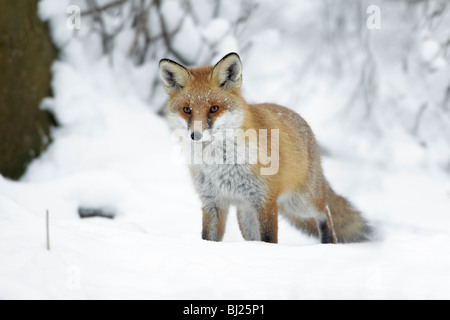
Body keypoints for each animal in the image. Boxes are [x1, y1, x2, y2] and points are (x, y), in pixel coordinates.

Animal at [160, 52, 370, 244]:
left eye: (214, 108)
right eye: (187, 110)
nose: (195, 135)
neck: (220, 163)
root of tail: (300, 119)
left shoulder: (265, 201)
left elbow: (269, 239)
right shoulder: (212, 202)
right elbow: (208, 238)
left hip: (300, 203)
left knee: (325, 211)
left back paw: (329, 243)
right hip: (246, 214)